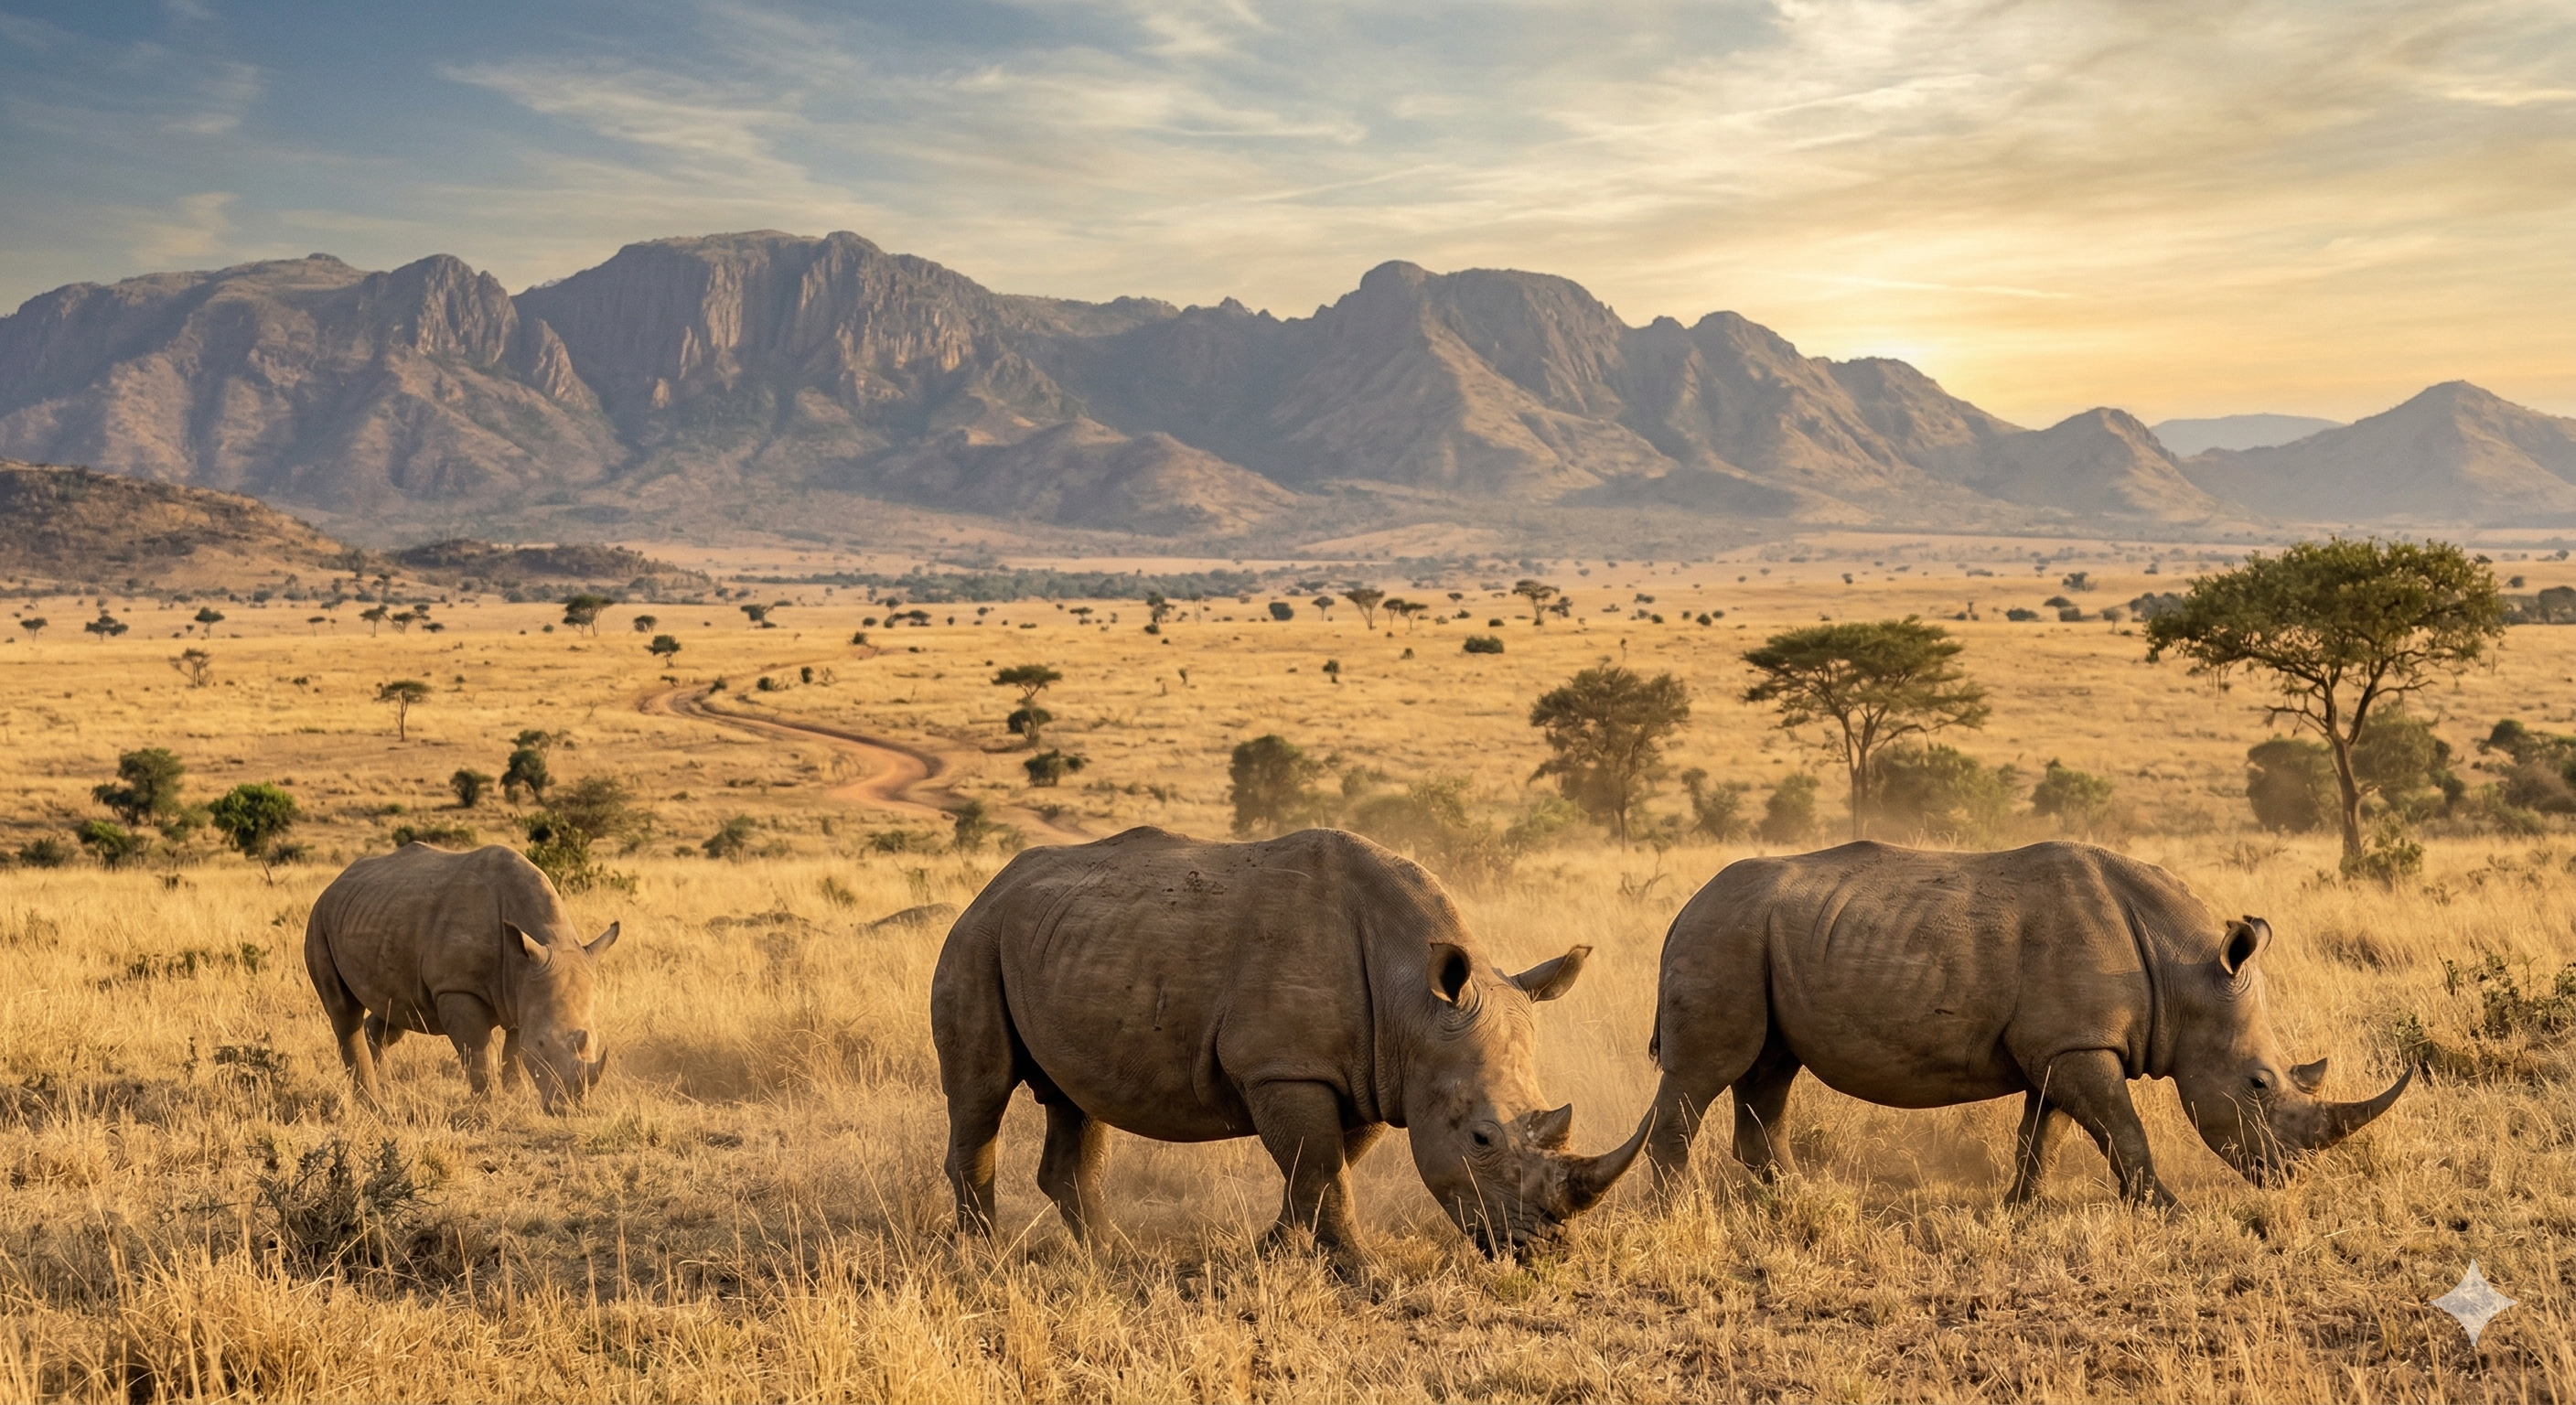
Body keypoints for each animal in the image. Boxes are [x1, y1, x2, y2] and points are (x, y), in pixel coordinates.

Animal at [305, 843, 620, 1114]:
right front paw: (489, 1106)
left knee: (393, 1013)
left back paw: (376, 1094)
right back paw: (371, 1105)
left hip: (379, 916)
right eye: (542, 1044)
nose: (566, 1109)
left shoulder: (522, 987)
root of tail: (334, 883)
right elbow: (478, 1053)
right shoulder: (458, 987)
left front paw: (514, 1097)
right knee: (344, 1013)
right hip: (319, 920)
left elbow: (515, 1053)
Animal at [931, 826, 1647, 1265]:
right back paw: (984, 1258)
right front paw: (1365, 1275)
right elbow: (1323, 1167)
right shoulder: (1285, 1068)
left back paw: (1116, 1259)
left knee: (1077, 1100)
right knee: (982, 1091)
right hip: (976, 939)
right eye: (1480, 1139)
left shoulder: (1372, 1073)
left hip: (1064, 941)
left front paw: (1270, 1252)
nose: (1546, 1247)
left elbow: (1324, 1168)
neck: (1413, 1001)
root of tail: (992, 884)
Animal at [1642, 841, 2408, 1206]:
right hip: (1723, 936)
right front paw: (2167, 1208)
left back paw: (1793, 1199)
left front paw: (2021, 1205)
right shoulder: (2078, 1045)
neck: (2184, 969)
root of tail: (1682, 908)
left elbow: (2045, 1132)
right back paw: (1675, 1213)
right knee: (1705, 1074)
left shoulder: (2062, 1045)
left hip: (1757, 939)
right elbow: (2122, 1128)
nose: (2290, 1177)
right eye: (2258, 1084)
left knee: (1770, 1071)